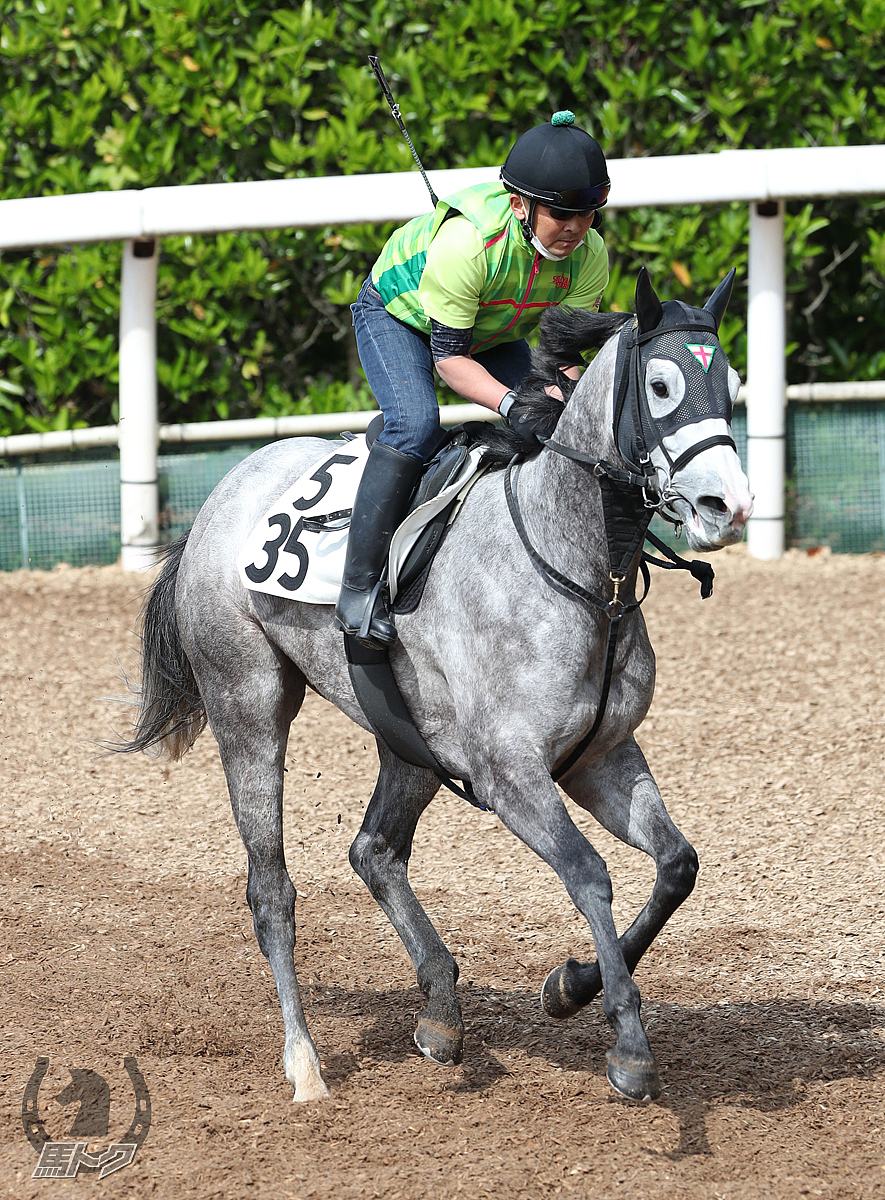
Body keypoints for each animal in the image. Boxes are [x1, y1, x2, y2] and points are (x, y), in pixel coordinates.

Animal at [113, 270, 753, 1104]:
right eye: (661, 385)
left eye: (733, 387)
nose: (725, 505)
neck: (575, 567)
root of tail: (222, 496)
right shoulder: (510, 774)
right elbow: (588, 873)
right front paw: (627, 1043)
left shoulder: (601, 758)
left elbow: (676, 865)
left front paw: (569, 986)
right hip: (246, 702)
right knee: (271, 890)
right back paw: (304, 1062)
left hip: (408, 739)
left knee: (374, 850)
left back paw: (441, 1010)